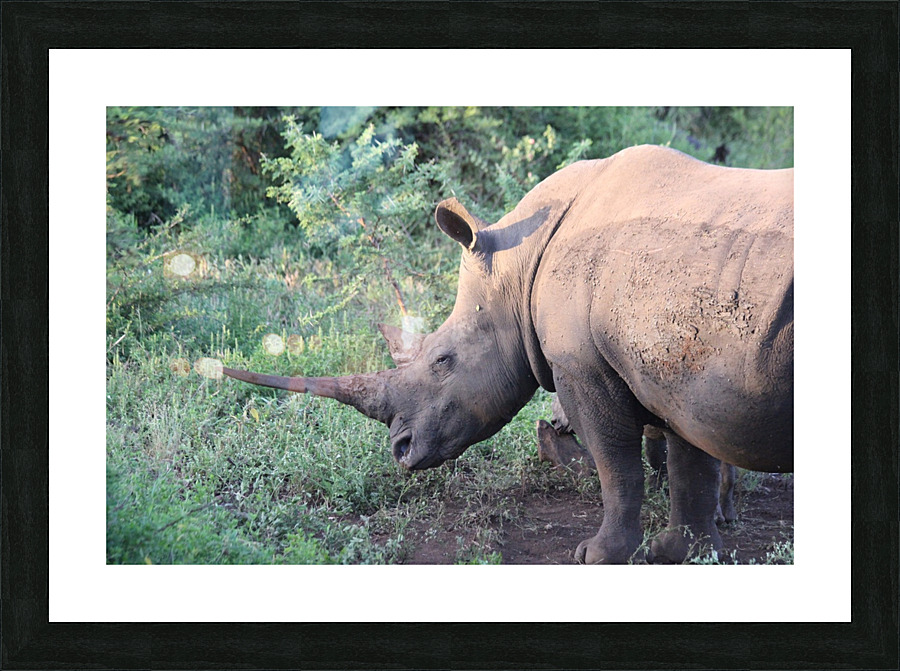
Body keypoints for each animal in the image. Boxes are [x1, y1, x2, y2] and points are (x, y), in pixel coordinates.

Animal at [224, 145, 793, 564]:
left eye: (442, 361)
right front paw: (684, 553)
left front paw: (597, 556)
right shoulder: (678, 366)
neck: (519, 267)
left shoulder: (589, 367)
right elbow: (689, 463)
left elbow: (616, 464)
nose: (400, 451)